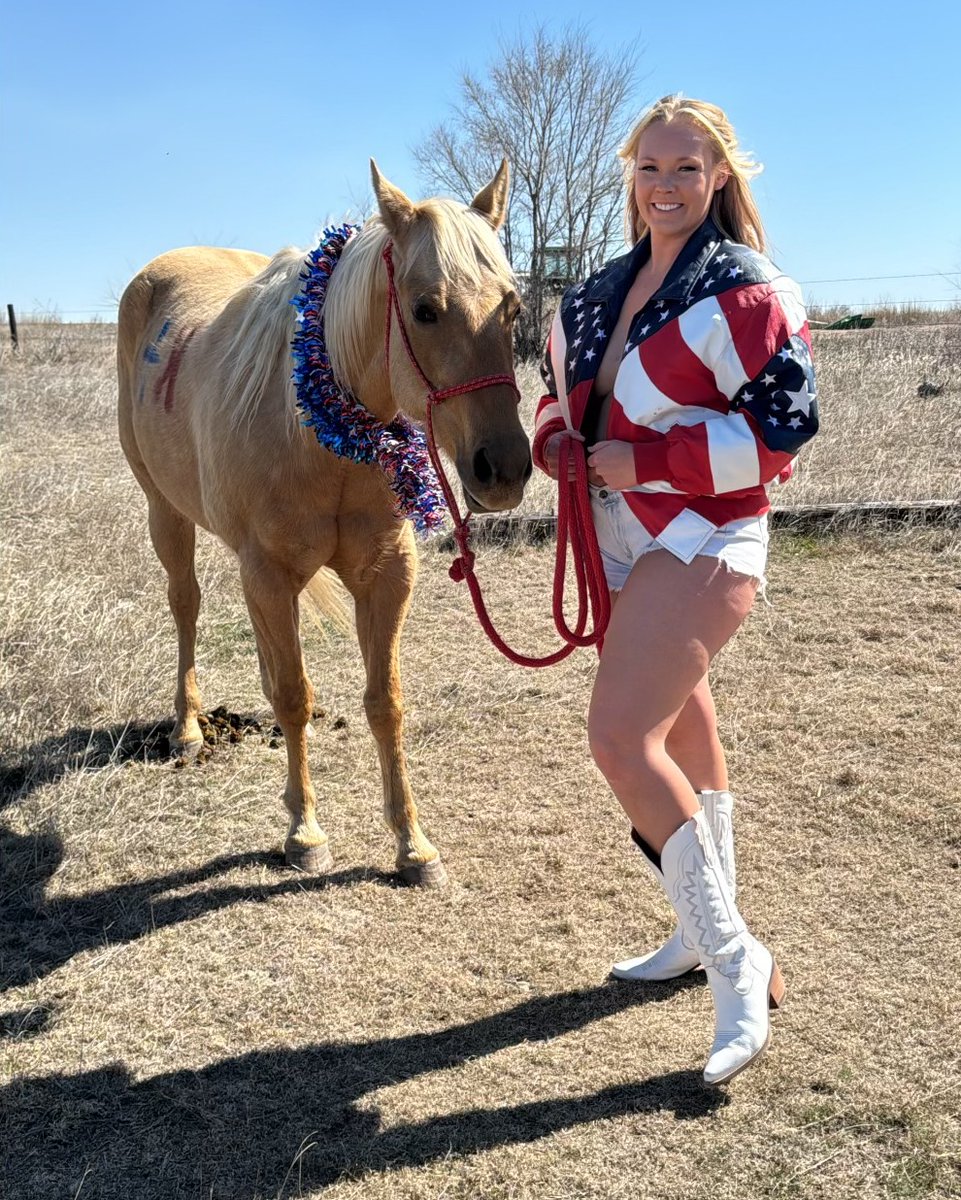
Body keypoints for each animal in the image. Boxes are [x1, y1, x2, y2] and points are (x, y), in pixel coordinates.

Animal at [118, 162, 532, 883]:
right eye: (425, 309)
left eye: (512, 308)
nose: (502, 470)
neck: (322, 433)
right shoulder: (270, 571)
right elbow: (290, 694)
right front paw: (304, 832)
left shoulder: (386, 575)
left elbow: (384, 701)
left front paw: (412, 843)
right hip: (165, 514)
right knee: (187, 607)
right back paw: (190, 730)